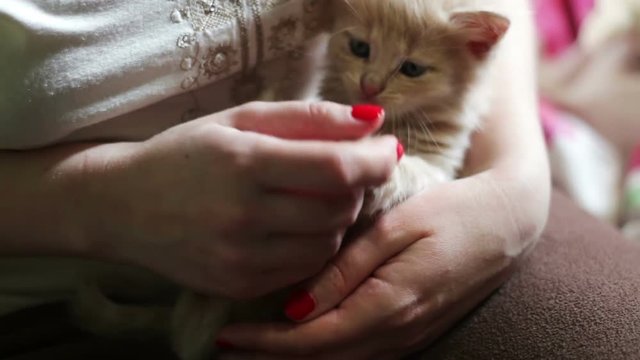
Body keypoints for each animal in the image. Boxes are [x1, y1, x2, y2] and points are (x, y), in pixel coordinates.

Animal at [72, 1, 510, 358]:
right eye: (360, 48)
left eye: (412, 69)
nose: (369, 86)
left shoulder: (441, 164)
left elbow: (416, 171)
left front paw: (385, 179)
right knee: (188, 335)